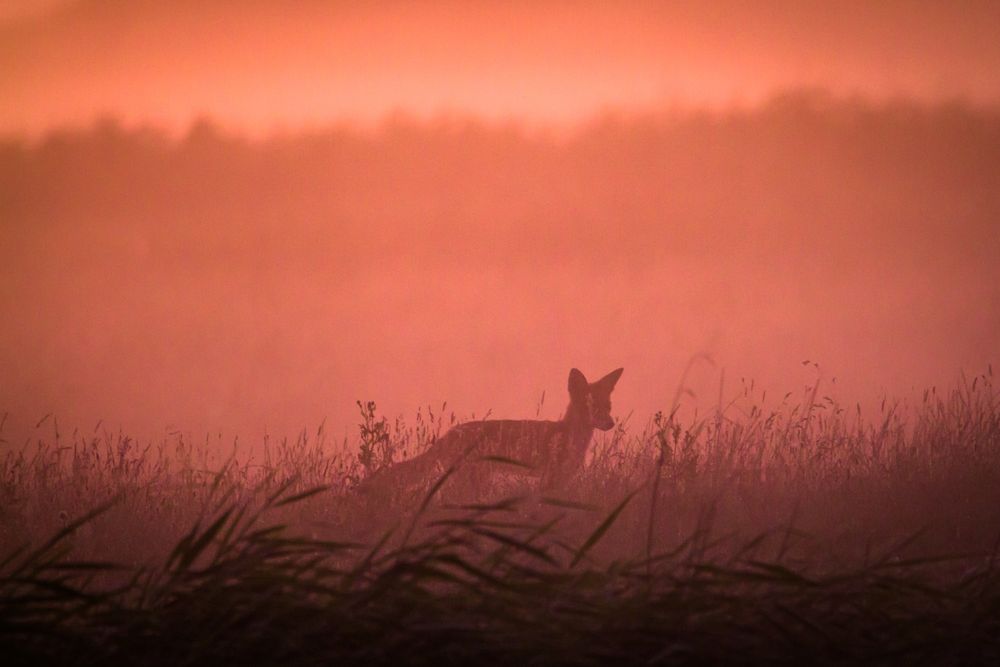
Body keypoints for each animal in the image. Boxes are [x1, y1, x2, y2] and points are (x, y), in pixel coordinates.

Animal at [360, 368, 624, 498]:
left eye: (608, 407)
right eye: (592, 407)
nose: (610, 423)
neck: (571, 438)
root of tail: (450, 433)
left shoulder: (562, 480)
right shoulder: (550, 478)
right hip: (473, 482)